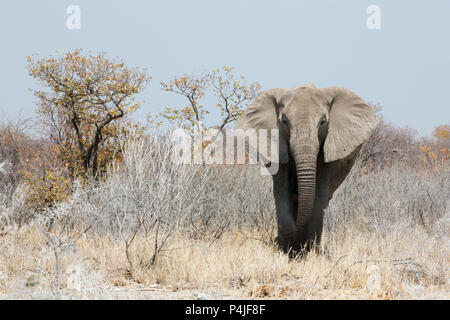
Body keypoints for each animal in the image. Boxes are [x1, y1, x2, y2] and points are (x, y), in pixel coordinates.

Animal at [237, 84, 378, 254]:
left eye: (323, 121)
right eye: (284, 121)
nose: (277, 239)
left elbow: (319, 193)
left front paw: (308, 250)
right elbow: (281, 189)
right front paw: (286, 245)